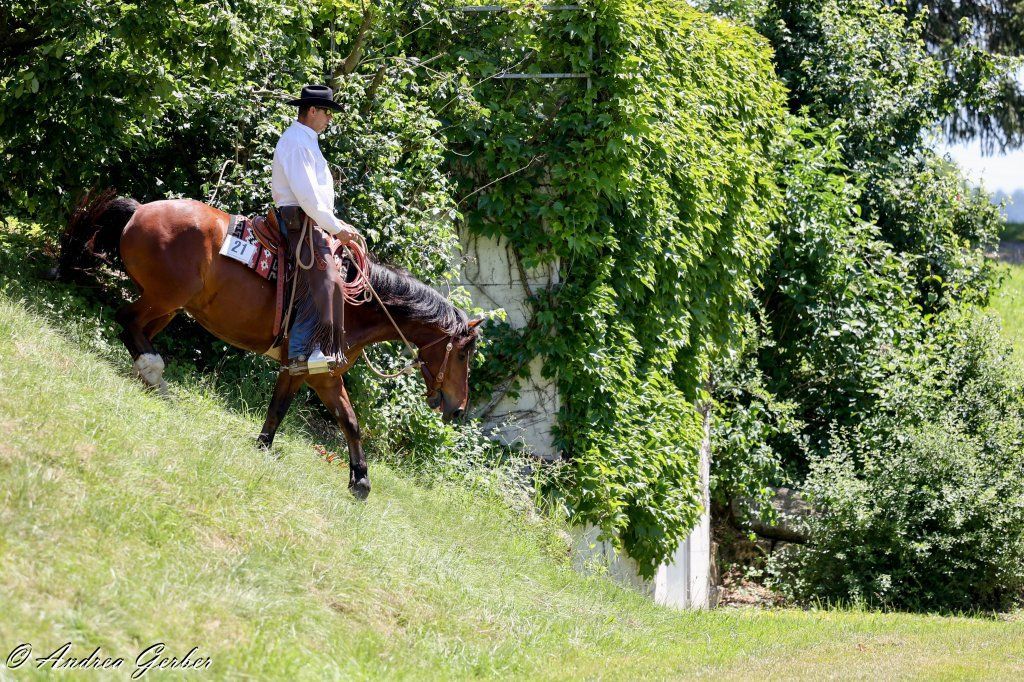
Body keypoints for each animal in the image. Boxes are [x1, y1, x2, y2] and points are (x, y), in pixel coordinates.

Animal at [55, 190, 480, 499]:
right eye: (462, 352)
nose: (458, 408)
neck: (354, 305)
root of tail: (139, 210)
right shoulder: (318, 370)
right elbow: (338, 418)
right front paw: (358, 481)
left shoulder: (307, 370)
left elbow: (295, 411)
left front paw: (269, 449)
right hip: (165, 297)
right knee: (127, 322)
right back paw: (155, 375)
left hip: (171, 305)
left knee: (136, 329)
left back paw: (149, 377)